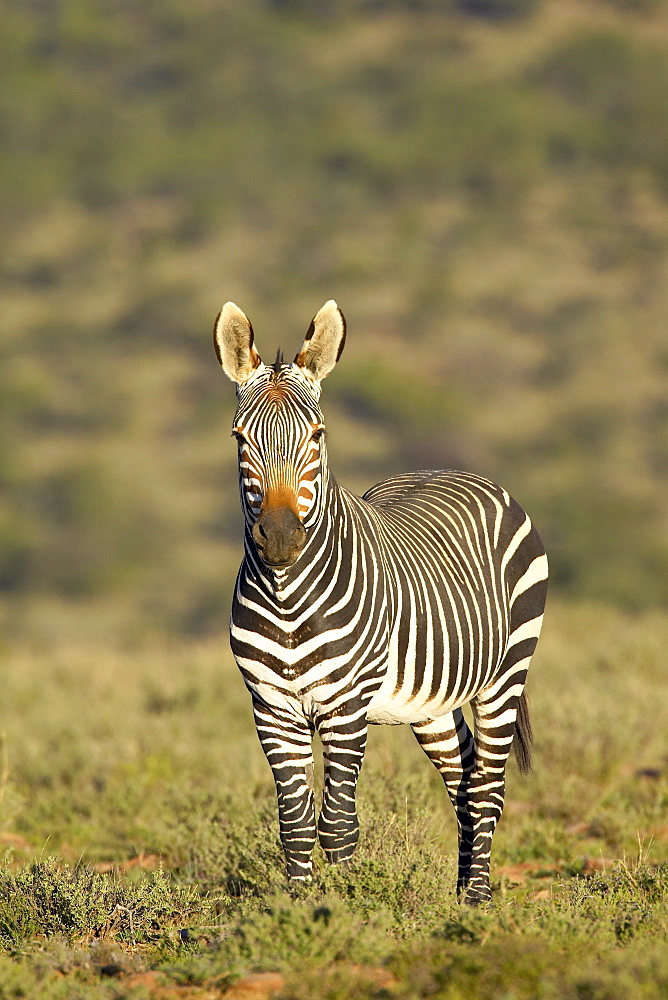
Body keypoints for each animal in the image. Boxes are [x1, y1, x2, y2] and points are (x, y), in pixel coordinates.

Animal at [214, 296, 548, 908]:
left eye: (318, 435)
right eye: (240, 438)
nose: (280, 538)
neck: (288, 597)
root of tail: (449, 468)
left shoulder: (346, 705)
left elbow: (338, 824)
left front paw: (348, 908)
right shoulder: (271, 707)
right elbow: (295, 822)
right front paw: (295, 911)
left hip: (506, 673)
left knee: (487, 784)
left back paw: (477, 903)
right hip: (432, 701)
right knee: (463, 778)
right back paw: (459, 890)